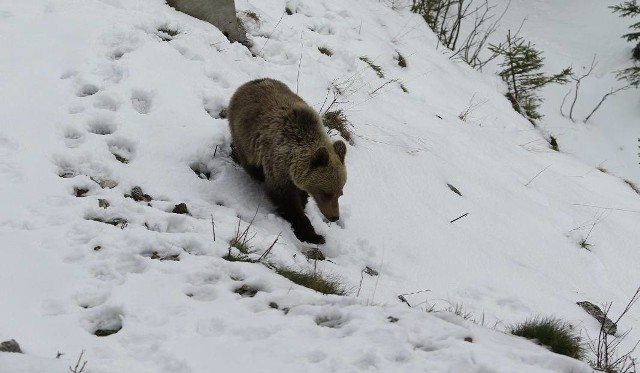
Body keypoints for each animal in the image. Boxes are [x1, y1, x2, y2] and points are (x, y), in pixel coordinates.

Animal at [228, 77, 348, 244]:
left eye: (340, 193)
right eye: (327, 193)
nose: (334, 217)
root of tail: (250, 82)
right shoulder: (278, 166)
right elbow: (285, 200)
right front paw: (313, 235)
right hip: (242, 133)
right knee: (250, 162)